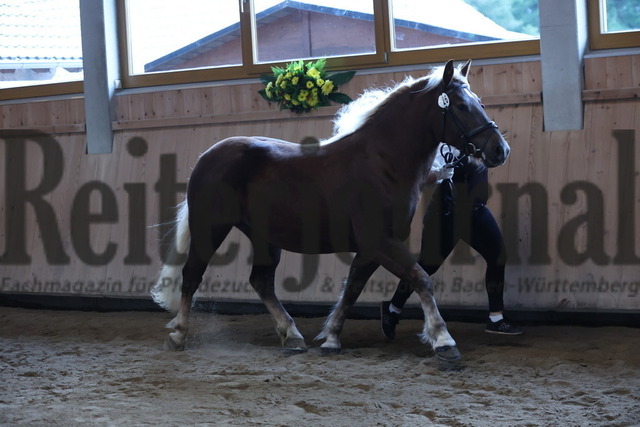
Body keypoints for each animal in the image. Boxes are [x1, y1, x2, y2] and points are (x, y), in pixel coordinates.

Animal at [151, 60, 510, 362]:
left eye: (478, 102)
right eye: (461, 106)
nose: (500, 150)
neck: (383, 163)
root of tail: (208, 155)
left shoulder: (372, 247)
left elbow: (352, 289)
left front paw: (332, 337)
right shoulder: (381, 242)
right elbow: (421, 279)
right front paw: (443, 340)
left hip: (264, 237)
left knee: (261, 282)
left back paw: (292, 336)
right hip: (210, 228)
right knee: (191, 275)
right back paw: (179, 335)